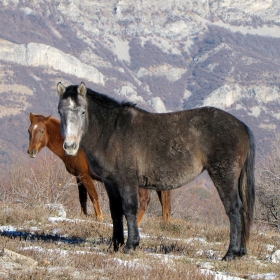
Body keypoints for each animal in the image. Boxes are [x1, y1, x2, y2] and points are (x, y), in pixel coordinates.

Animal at [27, 114, 171, 225]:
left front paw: (99, 218)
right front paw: (83, 216)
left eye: (42, 131)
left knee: (144, 201)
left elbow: (93, 195)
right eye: (29, 130)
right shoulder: (79, 177)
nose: (31, 151)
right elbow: (82, 198)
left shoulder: (85, 175)